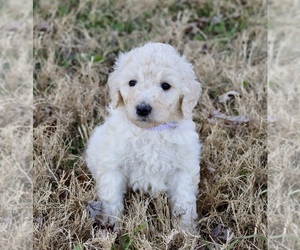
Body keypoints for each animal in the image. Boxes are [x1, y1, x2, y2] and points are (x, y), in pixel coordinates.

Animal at [86, 42, 202, 232]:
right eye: (132, 83)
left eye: (165, 85)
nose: (142, 109)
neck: (151, 131)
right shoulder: (113, 164)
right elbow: (111, 197)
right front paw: (112, 225)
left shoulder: (183, 168)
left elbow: (184, 201)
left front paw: (186, 231)